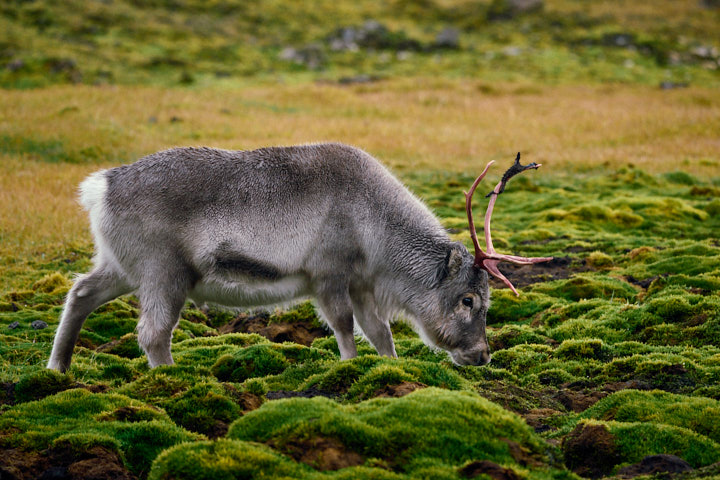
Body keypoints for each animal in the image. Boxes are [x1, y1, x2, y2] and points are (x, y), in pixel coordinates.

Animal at [47, 143, 551, 372]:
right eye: (469, 300)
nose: (482, 355)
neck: (376, 225)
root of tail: (100, 188)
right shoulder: (328, 274)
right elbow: (345, 327)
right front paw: (349, 367)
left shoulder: (361, 282)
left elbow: (380, 332)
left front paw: (388, 367)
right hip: (164, 272)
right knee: (152, 332)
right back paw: (170, 378)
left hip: (120, 267)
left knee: (80, 292)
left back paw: (58, 368)